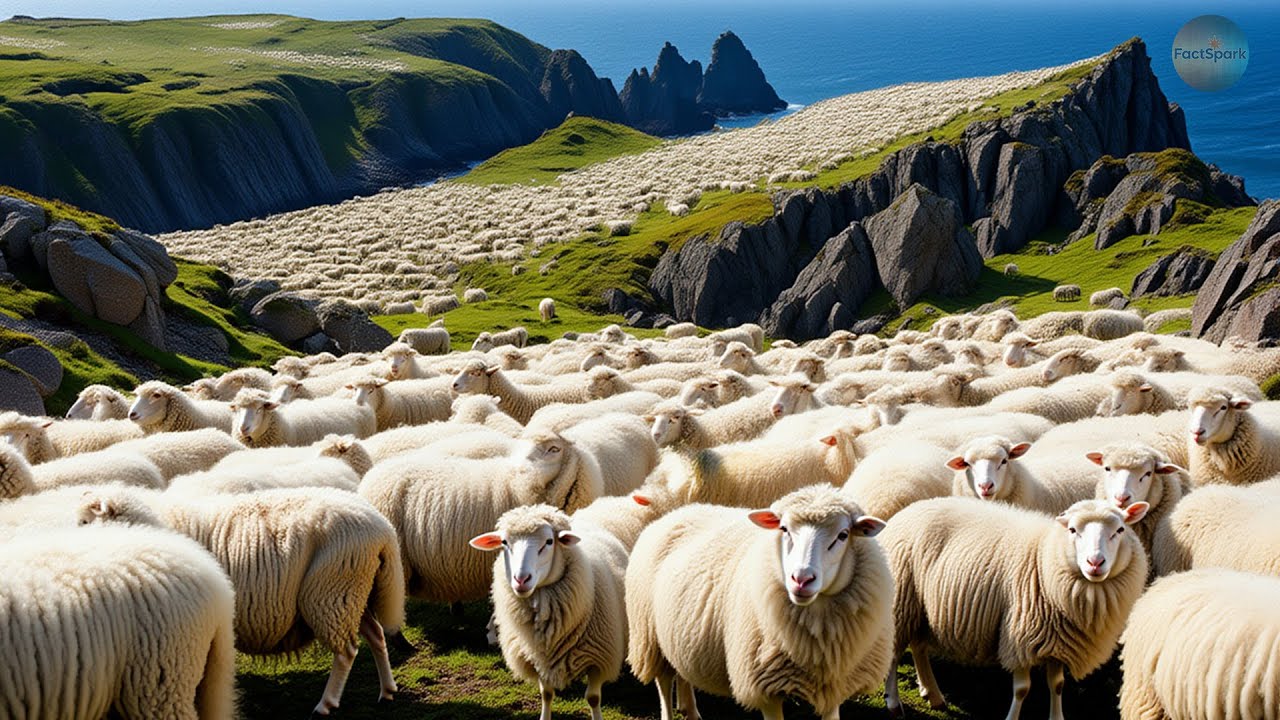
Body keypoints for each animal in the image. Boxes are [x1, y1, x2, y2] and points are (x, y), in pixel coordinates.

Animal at [81, 485, 405, 717]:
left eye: (84, 521)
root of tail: (384, 530)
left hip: (331, 594)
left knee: (347, 651)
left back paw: (326, 704)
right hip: (354, 595)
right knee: (376, 635)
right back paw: (387, 690)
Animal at [470, 505, 627, 720]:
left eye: (549, 541)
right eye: (504, 542)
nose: (521, 579)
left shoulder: (599, 659)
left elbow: (593, 698)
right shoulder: (539, 658)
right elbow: (546, 693)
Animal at [627, 486, 892, 720]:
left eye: (843, 535)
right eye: (784, 529)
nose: (801, 579)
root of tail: (678, 511)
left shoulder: (835, 686)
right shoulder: (765, 688)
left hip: (679, 631)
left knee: (682, 670)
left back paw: (690, 711)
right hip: (649, 636)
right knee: (663, 682)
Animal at [880, 497, 1149, 719]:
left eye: (1120, 530)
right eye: (1073, 530)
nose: (1095, 562)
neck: (1044, 558)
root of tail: (907, 511)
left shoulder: (1058, 641)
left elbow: (1057, 685)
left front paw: (1057, 717)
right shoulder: (1020, 638)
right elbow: (1022, 689)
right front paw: (1012, 717)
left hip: (921, 608)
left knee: (918, 647)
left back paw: (933, 694)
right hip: (902, 602)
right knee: (894, 652)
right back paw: (893, 703)